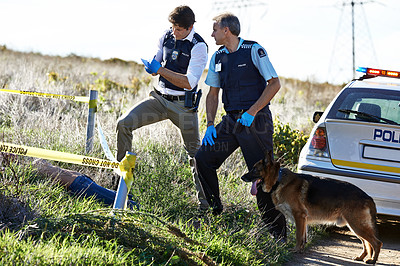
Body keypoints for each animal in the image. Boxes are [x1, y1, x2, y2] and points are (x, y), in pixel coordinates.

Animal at [242, 152, 382, 264]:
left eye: (254, 169)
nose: (242, 177)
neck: (278, 180)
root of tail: (368, 197)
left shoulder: (299, 216)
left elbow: (298, 236)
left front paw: (295, 250)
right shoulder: (303, 220)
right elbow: (303, 237)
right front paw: (300, 250)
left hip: (356, 225)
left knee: (376, 243)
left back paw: (372, 260)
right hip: (354, 226)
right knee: (366, 243)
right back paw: (361, 257)